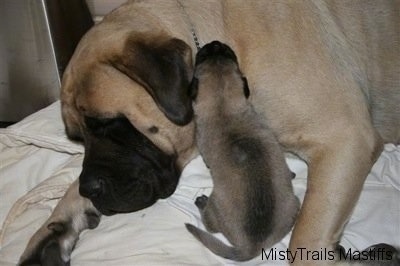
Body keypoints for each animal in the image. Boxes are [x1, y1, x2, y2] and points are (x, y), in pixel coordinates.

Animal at [184, 41, 300, 262]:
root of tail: (252, 247)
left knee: (210, 225)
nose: (215, 43)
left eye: (201, 57)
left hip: (215, 204)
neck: (224, 110)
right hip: (294, 203)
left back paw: (201, 203)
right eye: (225, 53)